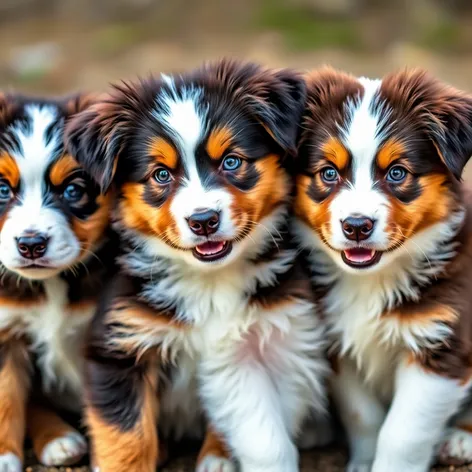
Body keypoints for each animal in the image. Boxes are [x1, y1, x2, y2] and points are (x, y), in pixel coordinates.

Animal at [0, 94, 114, 470]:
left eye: (73, 191)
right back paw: (58, 438)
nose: (31, 243)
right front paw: (4, 456)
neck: (50, 284)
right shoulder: (6, 331)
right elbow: (7, 396)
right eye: (1, 189)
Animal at [67, 59, 328, 472]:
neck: (208, 281)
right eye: (160, 174)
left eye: (232, 161)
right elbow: (127, 438)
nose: (203, 220)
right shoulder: (118, 347)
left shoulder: (271, 334)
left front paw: (219, 455)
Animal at [296, 65, 472, 472]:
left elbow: (403, 432)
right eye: (328, 173)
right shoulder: (339, 343)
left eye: (396, 173)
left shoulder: (441, 345)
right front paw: (363, 462)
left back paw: (461, 440)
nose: (357, 226)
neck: (373, 280)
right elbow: (364, 415)